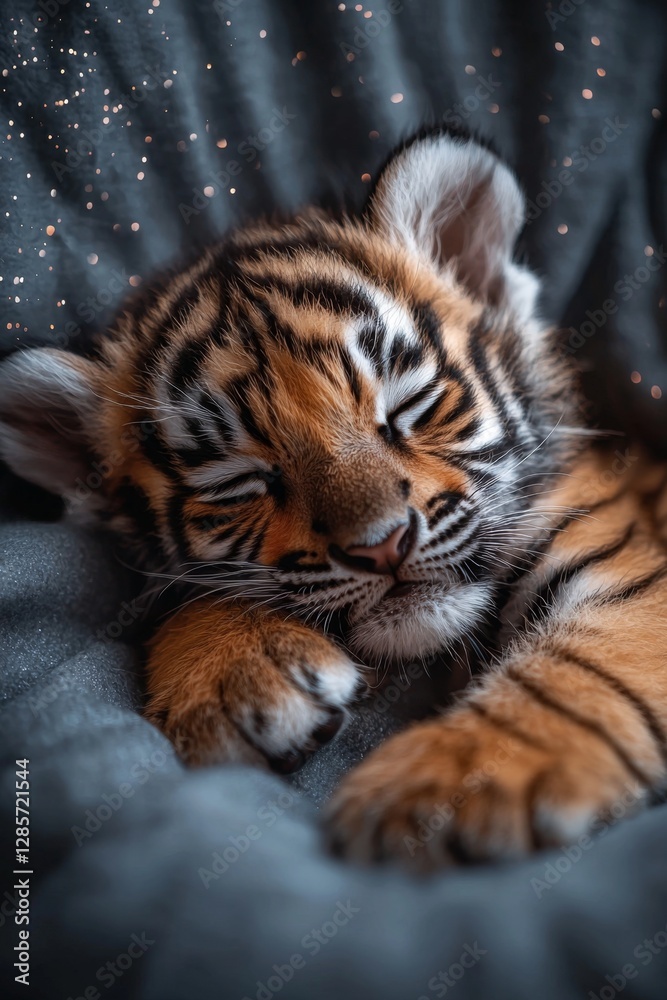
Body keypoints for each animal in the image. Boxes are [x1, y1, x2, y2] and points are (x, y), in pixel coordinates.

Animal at [2, 128, 667, 870]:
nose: (383, 546)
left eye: (409, 408)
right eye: (241, 481)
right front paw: (231, 678)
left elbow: (579, 672)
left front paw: (436, 789)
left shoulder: (623, 560)